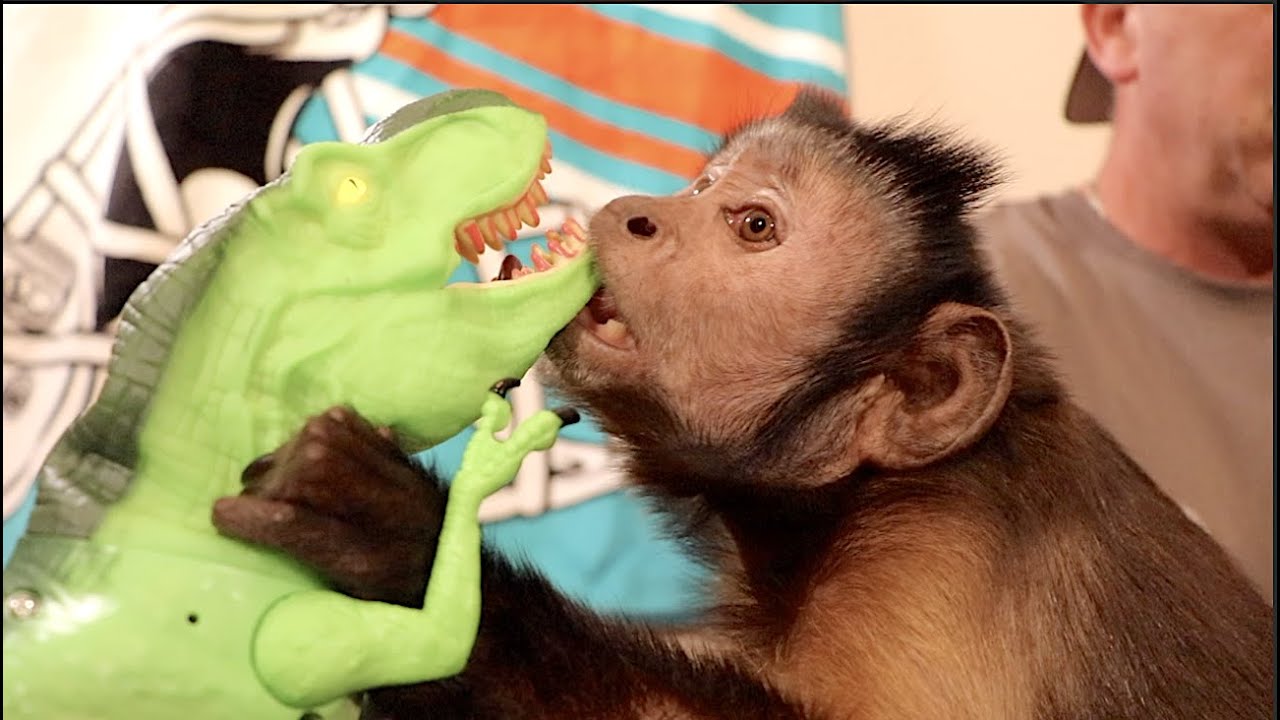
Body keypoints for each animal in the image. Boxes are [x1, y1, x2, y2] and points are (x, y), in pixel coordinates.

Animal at [212, 88, 1275, 719]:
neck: (860, 496)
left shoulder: (940, 565)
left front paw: (397, 539)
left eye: (753, 225)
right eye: (702, 187)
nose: (636, 210)